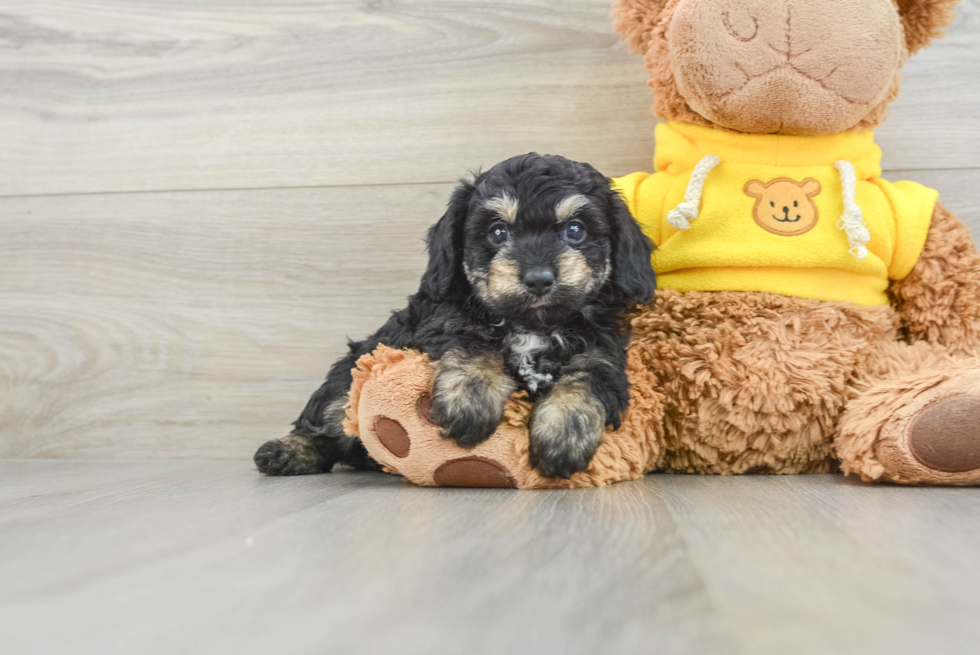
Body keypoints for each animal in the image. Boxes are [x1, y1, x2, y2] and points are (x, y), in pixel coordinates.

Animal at [253, 154, 656, 482]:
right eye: (498, 232)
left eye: (576, 229)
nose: (539, 277)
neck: (533, 324)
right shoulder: (438, 319)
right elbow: (470, 338)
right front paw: (470, 402)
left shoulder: (603, 347)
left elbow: (587, 376)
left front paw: (563, 437)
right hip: (347, 378)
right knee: (328, 420)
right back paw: (286, 452)